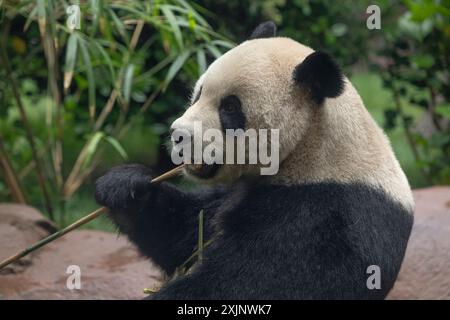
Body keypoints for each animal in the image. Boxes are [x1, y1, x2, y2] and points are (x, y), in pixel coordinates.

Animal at [96, 21, 414, 298]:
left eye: (230, 108)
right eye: (198, 93)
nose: (179, 135)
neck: (310, 149)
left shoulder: (323, 216)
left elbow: (244, 283)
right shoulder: (235, 192)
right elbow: (184, 233)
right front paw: (125, 186)